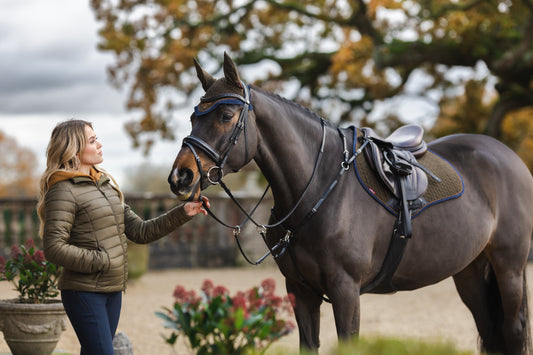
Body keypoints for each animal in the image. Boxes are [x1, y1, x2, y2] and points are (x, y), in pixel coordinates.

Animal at [167, 53, 532, 355]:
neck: (319, 187)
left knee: (512, 331)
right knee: (490, 330)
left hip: (509, 266)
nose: (181, 176)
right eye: (193, 117)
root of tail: (509, 158)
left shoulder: (345, 291)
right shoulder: (301, 291)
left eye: (226, 115)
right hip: (469, 271)